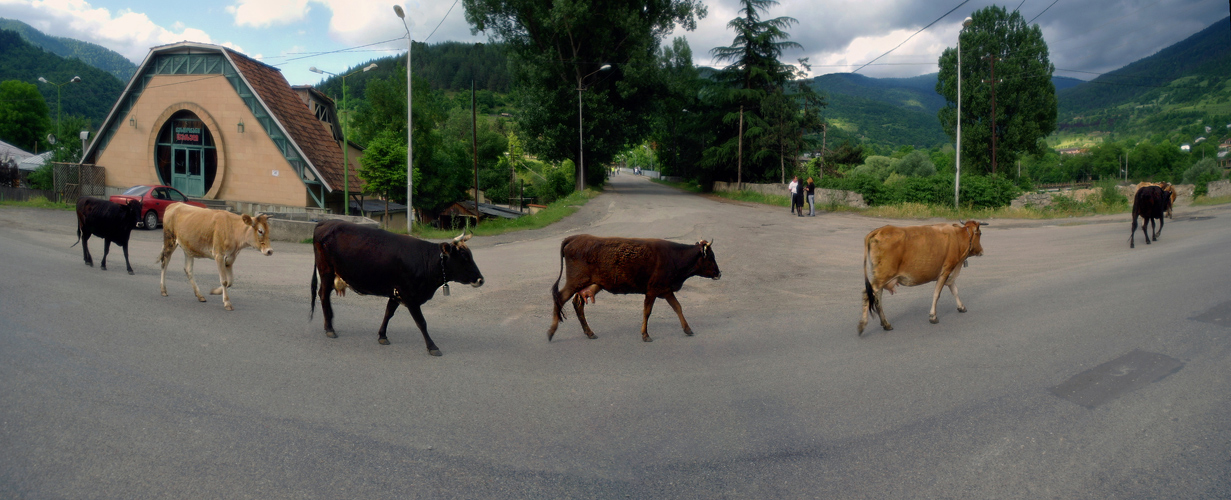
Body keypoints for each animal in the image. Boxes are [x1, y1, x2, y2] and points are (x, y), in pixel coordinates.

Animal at [307, 220, 485, 357]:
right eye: (464, 257)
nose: (480, 279)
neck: (425, 260)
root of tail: (325, 222)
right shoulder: (410, 296)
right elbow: (421, 322)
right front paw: (432, 346)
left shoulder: (396, 293)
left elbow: (388, 313)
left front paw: (382, 336)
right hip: (326, 271)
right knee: (323, 295)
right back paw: (330, 328)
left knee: (324, 295)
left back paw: (329, 324)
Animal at [546, 236, 718, 342]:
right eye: (711, 257)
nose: (719, 273)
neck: (674, 257)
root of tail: (575, 237)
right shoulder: (652, 290)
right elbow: (647, 312)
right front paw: (645, 334)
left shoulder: (666, 290)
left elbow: (678, 307)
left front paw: (688, 329)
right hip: (574, 282)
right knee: (560, 298)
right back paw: (551, 332)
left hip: (583, 286)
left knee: (578, 304)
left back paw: (589, 333)